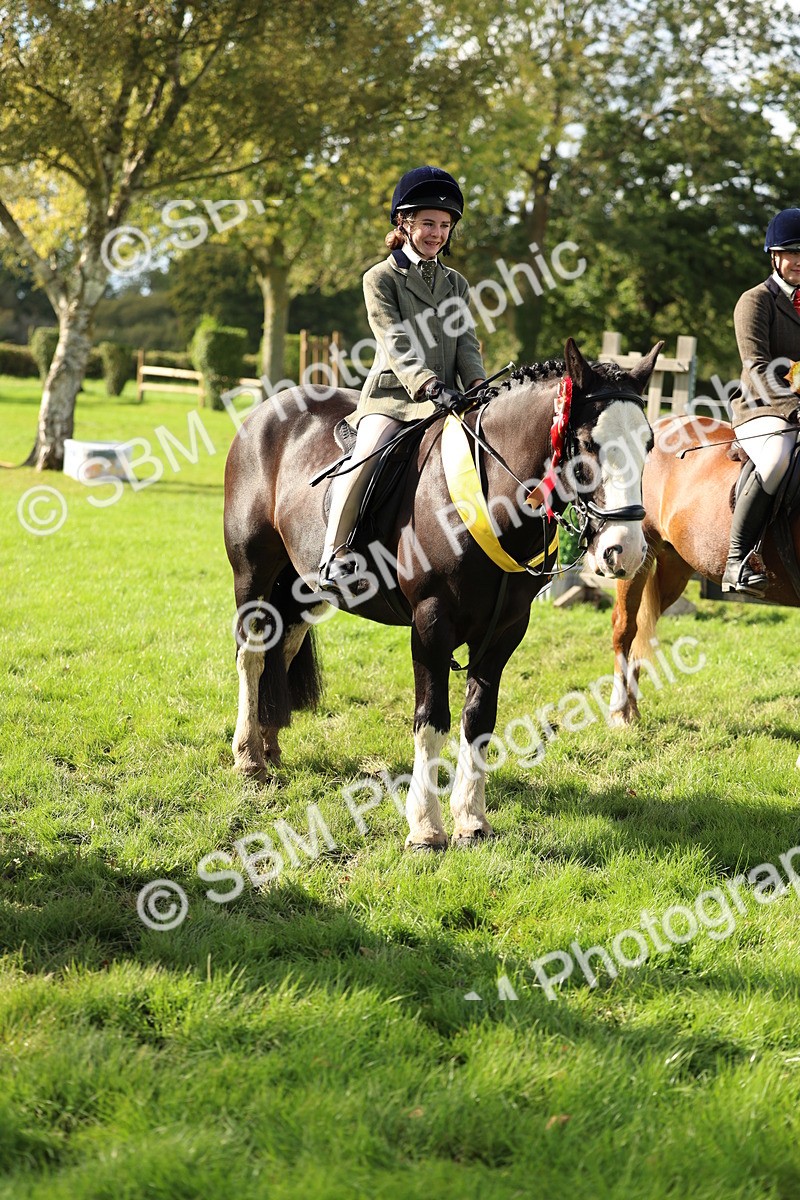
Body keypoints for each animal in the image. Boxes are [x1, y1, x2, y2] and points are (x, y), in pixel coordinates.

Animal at [223, 338, 661, 850]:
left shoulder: (506, 629)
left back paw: (269, 744)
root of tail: (267, 411)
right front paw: (425, 828)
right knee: (251, 655)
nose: (625, 551)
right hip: (253, 573)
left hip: (303, 586)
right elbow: (431, 719)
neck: (493, 498)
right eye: (590, 443)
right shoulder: (431, 623)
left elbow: (479, 719)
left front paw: (471, 820)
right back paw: (249, 757)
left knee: (283, 647)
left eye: (649, 443)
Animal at [610, 412, 800, 725]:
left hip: (675, 567)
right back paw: (619, 712)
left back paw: (633, 709)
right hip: (634, 556)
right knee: (625, 627)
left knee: (641, 628)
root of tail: (662, 423)